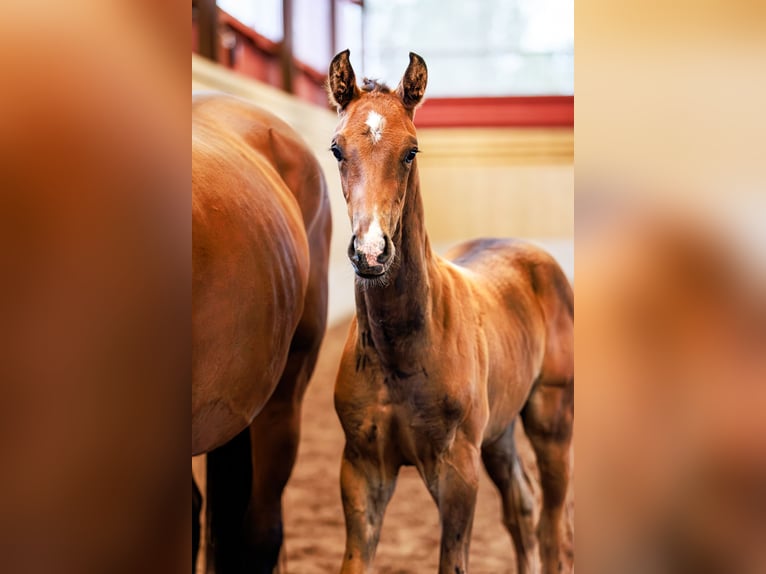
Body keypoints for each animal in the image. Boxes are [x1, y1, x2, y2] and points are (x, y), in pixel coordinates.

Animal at [330, 50, 576, 574]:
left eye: (411, 151)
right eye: (337, 149)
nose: (372, 253)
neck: (400, 351)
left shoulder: (457, 471)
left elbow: (455, 559)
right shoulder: (362, 468)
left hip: (552, 421)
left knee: (554, 527)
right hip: (501, 430)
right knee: (522, 507)